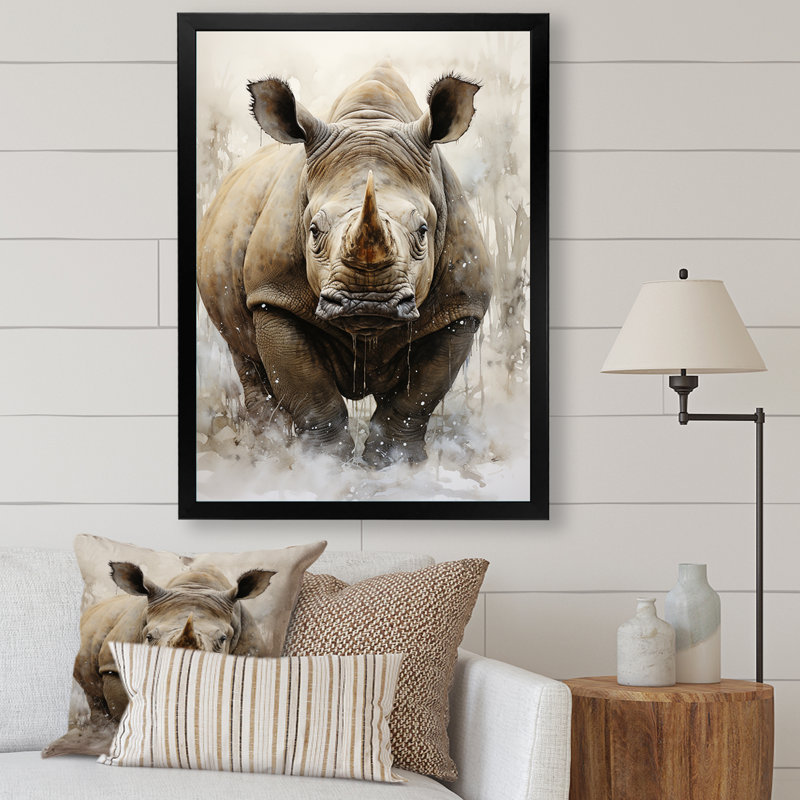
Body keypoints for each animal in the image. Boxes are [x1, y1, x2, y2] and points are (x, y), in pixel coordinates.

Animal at [197, 65, 493, 467]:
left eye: (423, 231)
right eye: (313, 230)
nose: (368, 302)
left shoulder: (460, 308)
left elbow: (417, 397)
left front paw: (394, 464)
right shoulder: (274, 296)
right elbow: (312, 394)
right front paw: (324, 466)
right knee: (245, 356)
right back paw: (269, 452)